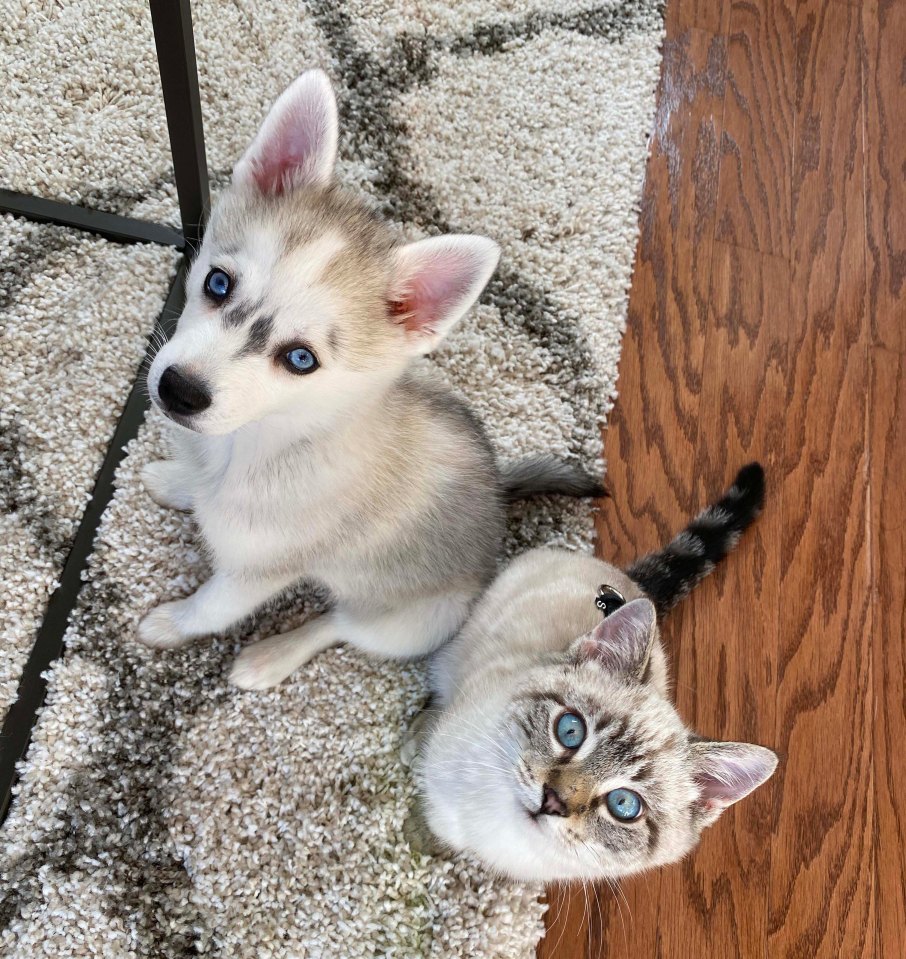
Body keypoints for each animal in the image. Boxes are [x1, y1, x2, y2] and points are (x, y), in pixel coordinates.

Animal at [138, 71, 596, 688]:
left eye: (300, 359)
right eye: (216, 282)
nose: (178, 391)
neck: (269, 439)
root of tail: (500, 497)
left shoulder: (254, 573)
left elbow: (210, 607)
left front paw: (171, 624)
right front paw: (179, 481)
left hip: (402, 622)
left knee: (337, 624)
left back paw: (270, 657)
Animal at [406, 464, 772, 884]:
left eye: (624, 804)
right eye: (570, 730)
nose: (553, 801)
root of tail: (635, 584)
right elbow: (434, 817)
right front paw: (420, 836)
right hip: (464, 640)